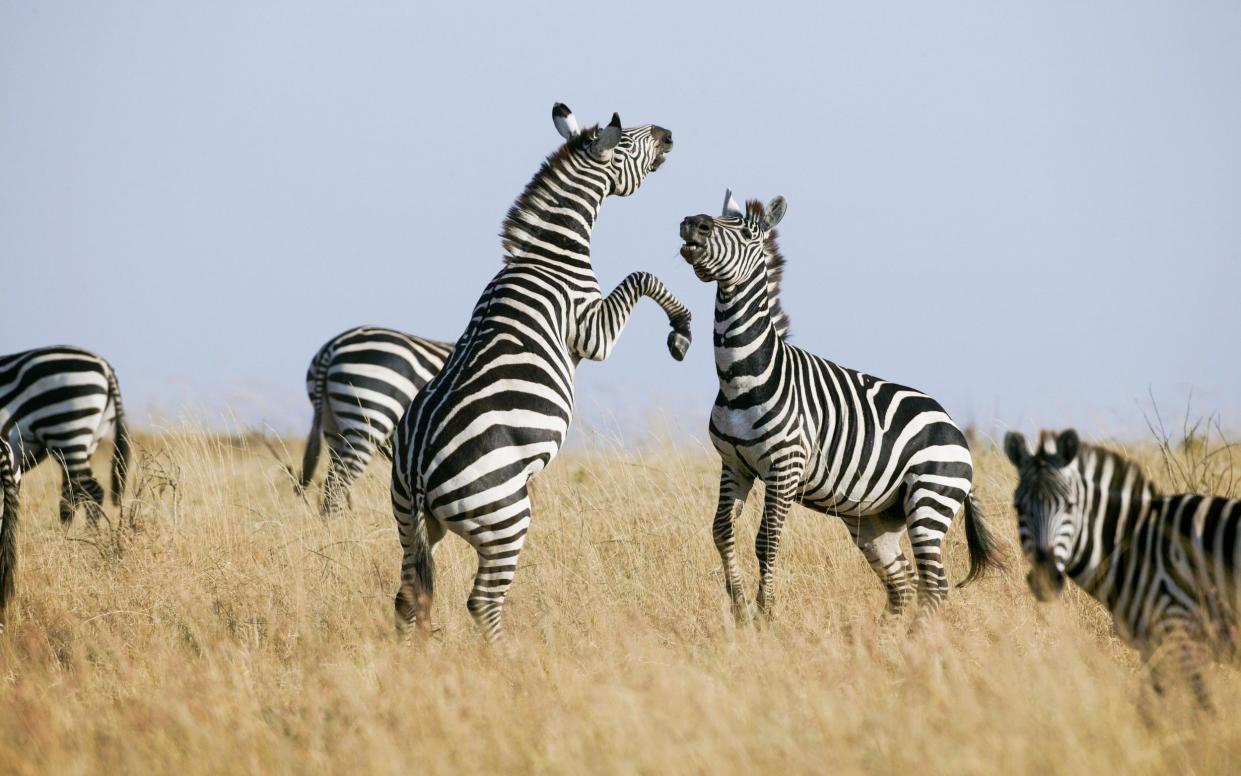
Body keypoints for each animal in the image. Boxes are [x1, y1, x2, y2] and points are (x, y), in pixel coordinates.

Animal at [389, 103, 689, 640]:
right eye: (627, 142)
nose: (669, 133)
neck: (547, 255)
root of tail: (419, 465)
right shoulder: (592, 330)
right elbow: (643, 276)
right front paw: (682, 330)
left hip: (412, 522)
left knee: (407, 597)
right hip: (505, 515)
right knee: (482, 600)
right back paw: (507, 656)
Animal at [675, 193, 1002, 623]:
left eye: (746, 232)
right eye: (713, 217)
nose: (692, 223)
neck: (741, 377)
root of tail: (954, 428)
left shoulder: (785, 468)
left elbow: (766, 542)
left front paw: (766, 615)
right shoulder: (735, 465)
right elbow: (721, 532)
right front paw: (740, 608)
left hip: (929, 502)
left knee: (935, 585)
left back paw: (916, 635)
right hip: (877, 522)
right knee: (903, 582)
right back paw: (884, 636)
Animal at [1002, 429, 1236, 710]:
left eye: (1070, 505)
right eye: (1018, 508)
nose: (1045, 578)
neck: (1133, 544)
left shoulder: (1179, 631)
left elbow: (1201, 706)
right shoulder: (1154, 646)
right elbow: (1147, 706)